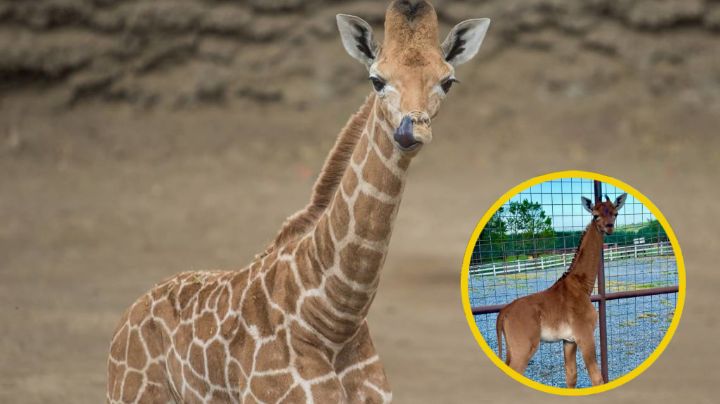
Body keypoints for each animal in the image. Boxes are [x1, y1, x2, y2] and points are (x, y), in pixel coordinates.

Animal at [106, 1, 490, 402]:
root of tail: (125, 318)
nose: (410, 130)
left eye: (447, 81)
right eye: (376, 80)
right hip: (130, 393)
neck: (334, 319)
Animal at [495, 193, 628, 388]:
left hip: (512, 348)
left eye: (615, 213)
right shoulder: (585, 335)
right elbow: (597, 378)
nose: (609, 227)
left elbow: (571, 377)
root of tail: (503, 313)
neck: (582, 286)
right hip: (523, 348)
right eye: (595, 215)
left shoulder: (568, 341)